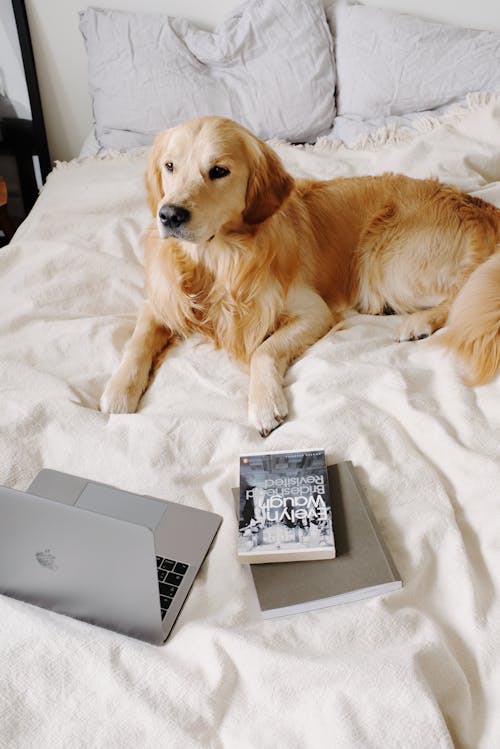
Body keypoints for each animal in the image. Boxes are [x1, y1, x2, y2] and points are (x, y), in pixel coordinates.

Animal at [99, 114, 500, 436]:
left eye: (218, 171)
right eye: (170, 166)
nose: (169, 214)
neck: (217, 261)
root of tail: (479, 204)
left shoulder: (314, 312)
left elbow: (263, 351)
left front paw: (263, 404)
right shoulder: (160, 303)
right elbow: (137, 341)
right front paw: (118, 390)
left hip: (387, 263)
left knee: (462, 293)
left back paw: (419, 322)